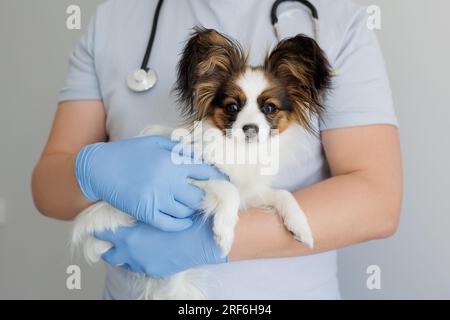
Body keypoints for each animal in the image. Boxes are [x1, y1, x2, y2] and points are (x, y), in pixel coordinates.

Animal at [70, 27, 330, 300]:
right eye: (232, 106)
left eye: (269, 108)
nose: (250, 129)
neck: (240, 151)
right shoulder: (189, 178)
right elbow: (228, 188)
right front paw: (224, 232)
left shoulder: (252, 192)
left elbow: (282, 195)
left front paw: (301, 226)